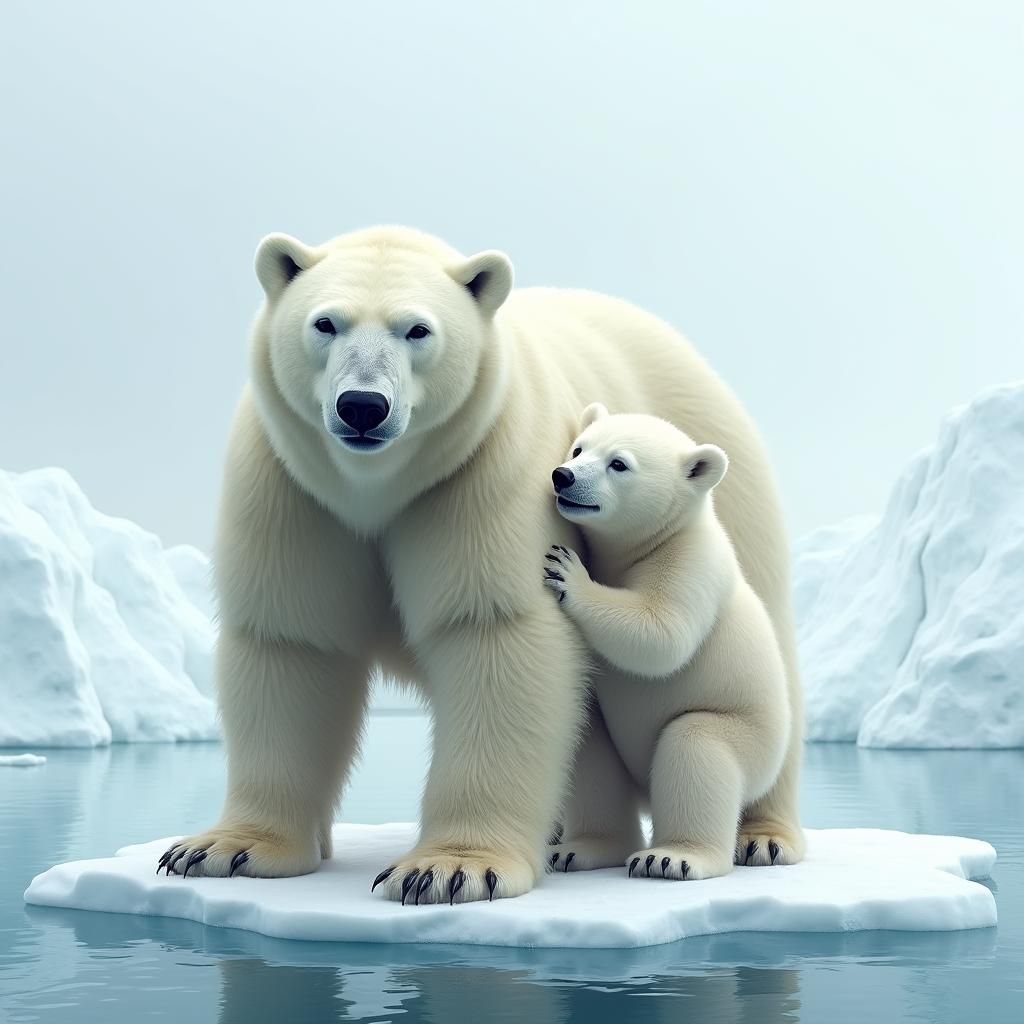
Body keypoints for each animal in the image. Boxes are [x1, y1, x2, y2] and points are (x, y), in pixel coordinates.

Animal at [542, 404, 792, 880]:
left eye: (619, 464)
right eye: (579, 448)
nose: (562, 476)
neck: (645, 547)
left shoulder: (689, 562)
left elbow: (662, 635)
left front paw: (566, 573)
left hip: (748, 735)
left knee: (694, 746)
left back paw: (671, 856)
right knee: (589, 749)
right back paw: (579, 849)